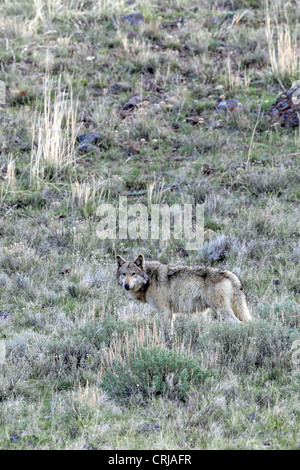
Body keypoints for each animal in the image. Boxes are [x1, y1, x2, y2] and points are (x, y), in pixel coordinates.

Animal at [116, 255, 252, 340]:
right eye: (124, 274)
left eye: (133, 274)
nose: (126, 286)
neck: (149, 279)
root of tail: (229, 274)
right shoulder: (171, 313)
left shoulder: (164, 311)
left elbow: (166, 335)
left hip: (222, 312)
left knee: (241, 325)